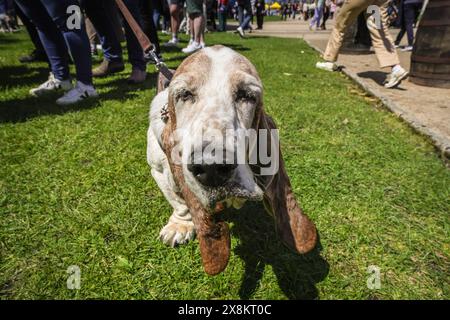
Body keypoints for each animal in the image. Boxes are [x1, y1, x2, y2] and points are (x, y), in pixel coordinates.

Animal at [148, 45, 316, 276]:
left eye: (247, 95)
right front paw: (180, 225)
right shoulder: (158, 169)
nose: (211, 168)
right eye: (184, 94)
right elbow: (179, 201)